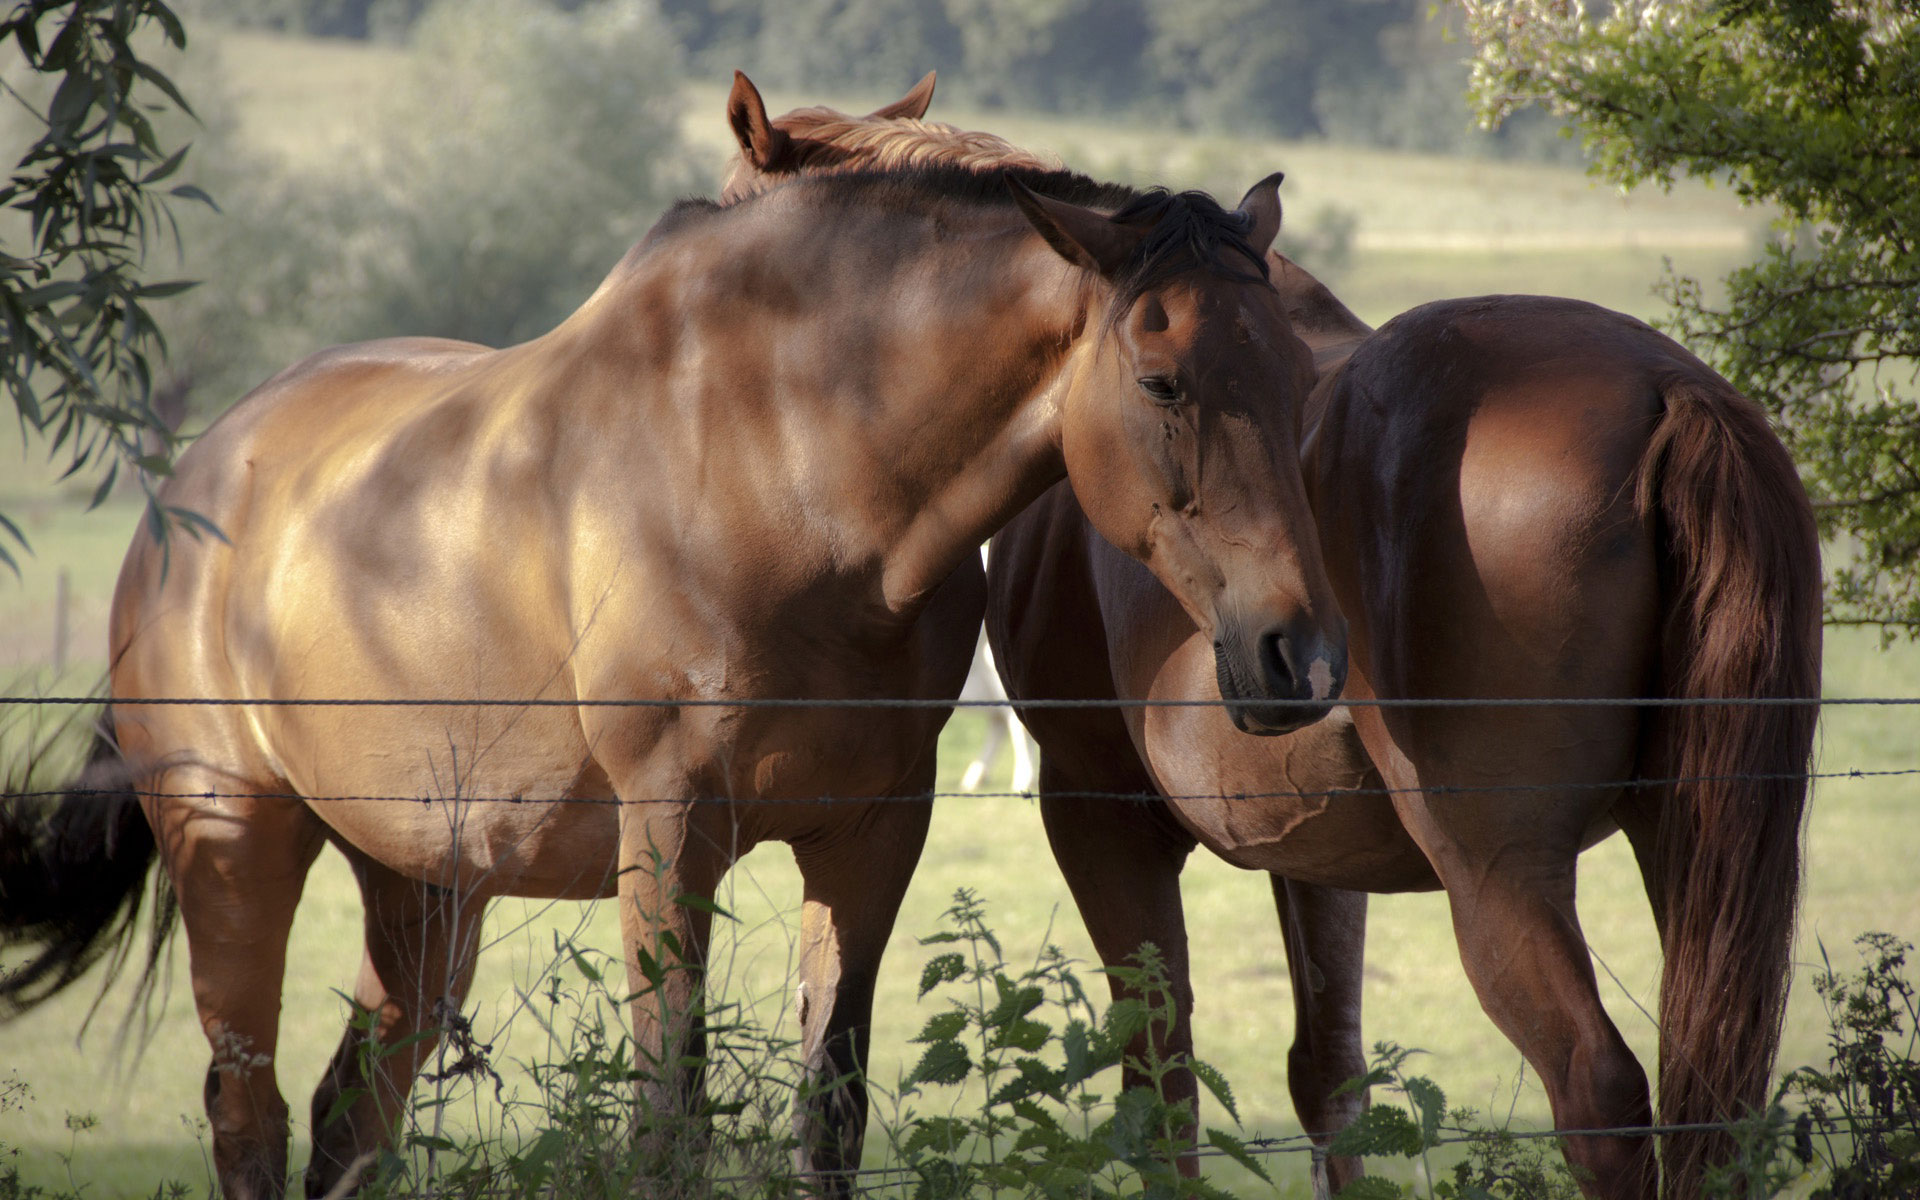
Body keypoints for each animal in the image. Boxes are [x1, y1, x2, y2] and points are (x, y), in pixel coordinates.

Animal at [3, 156, 1351, 1190]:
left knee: (349, 1118)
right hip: (235, 842)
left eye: (1299, 380)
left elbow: (830, 1112)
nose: (1299, 654)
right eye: (1162, 380)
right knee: (250, 1114)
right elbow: (670, 1122)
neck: (788, 461)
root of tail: (184, 491)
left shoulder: (870, 837)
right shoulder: (668, 833)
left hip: (423, 890)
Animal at [725, 84, 1820, 1198]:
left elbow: (1160, 1088)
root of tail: (1667, 390)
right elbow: (1331, 1082)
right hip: (1685, 839)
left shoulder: (1099, 815)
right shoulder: (1320, 853)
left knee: (1598, 1088)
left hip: (1502, 868)